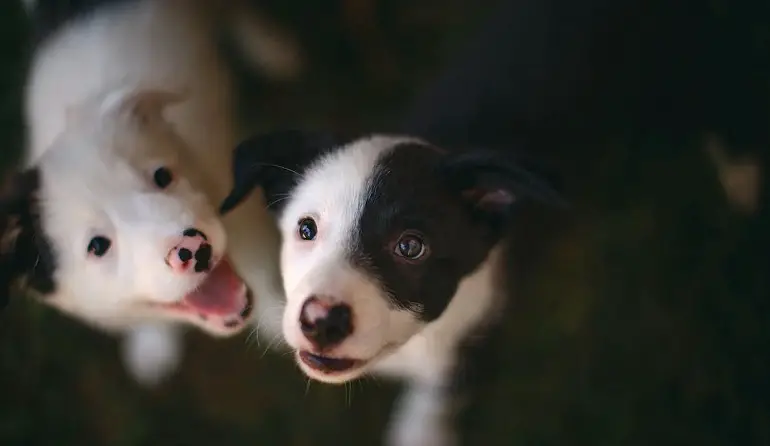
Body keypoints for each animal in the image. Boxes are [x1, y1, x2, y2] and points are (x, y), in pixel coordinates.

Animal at [219, 131, 560, 446]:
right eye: (306, 229)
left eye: (410, 246)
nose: (320, 321)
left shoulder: (473, 334)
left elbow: (442, 391)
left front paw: (423, 432)